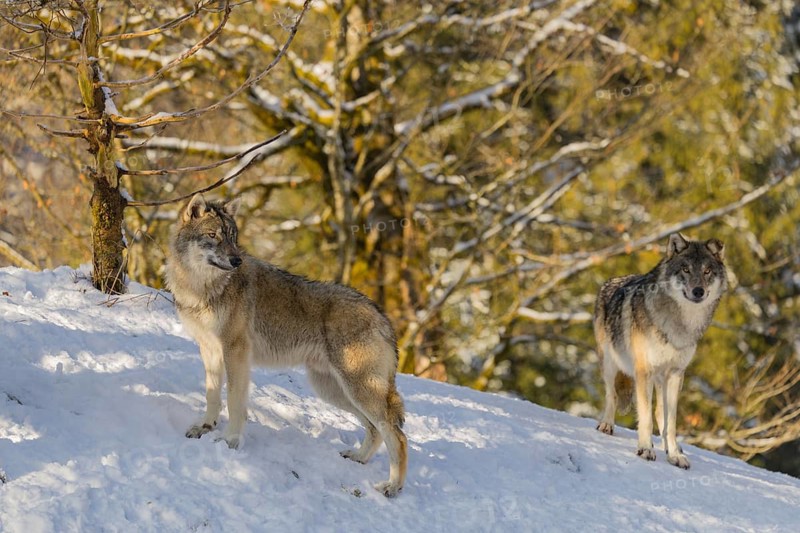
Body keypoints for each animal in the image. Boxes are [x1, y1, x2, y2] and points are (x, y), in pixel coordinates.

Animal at [165, 194, 408, 497]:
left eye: (232, 236)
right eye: (213, 236)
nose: (236, 260)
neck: (202, 287)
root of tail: (382, 317)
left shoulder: (236, 353)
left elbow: (234, 402)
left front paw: (230, 441)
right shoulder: (209, 350)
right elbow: (212, 396)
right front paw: (206, 427)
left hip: (356, 390)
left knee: (397, 436)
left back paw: (392, 487)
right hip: (334, 391)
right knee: (375, 431)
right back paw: (358, 458)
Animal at [594, 233, 726, 469]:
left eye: (707, 271)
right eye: (685, 269)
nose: (698, 291)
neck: (678, 324)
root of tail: (611, 281)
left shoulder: (675, 373)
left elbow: (670, 421)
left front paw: (674, 455)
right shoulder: (644, 371)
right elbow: (645, 417)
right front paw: (645, 449)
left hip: (662, 378)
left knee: (660, 413)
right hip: (611, 364)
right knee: (612, 395)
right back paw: (607, 425)